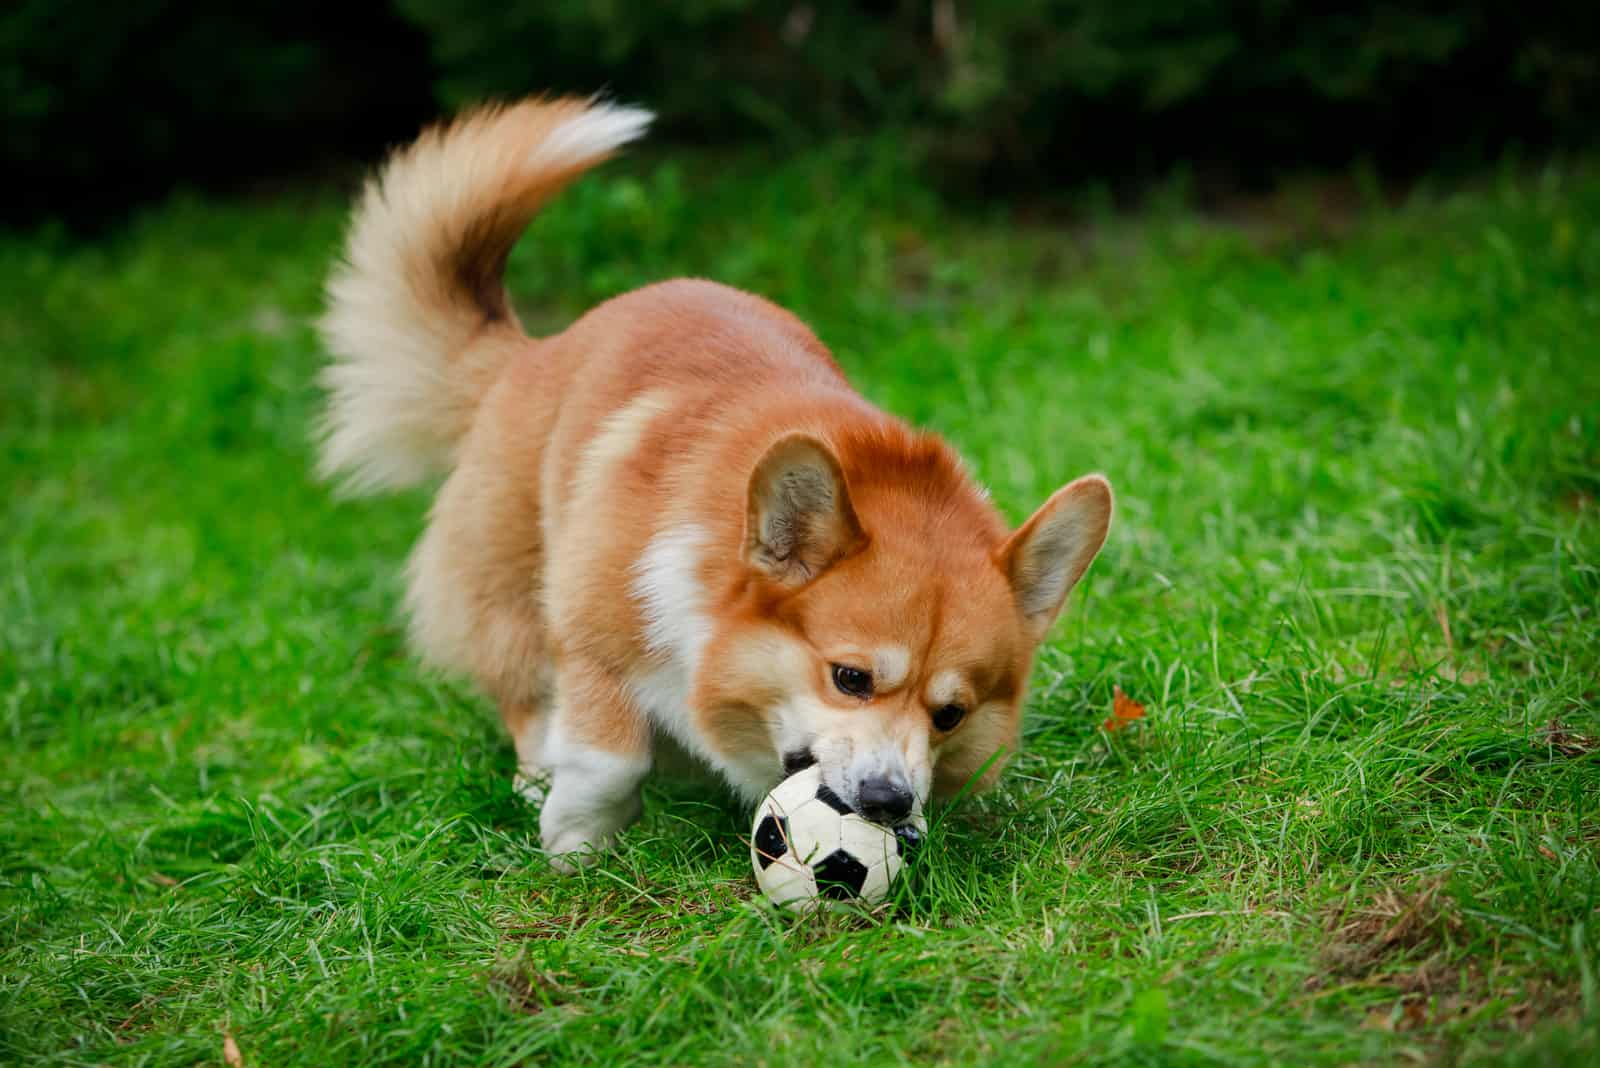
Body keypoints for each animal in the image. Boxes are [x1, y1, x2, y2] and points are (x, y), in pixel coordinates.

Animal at [315, 97, 1113, 869]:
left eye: (951, 714)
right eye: (850, 678)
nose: (887, 803)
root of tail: (527, 353)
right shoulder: (593, 638)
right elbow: (609, 759)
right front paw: (575, 843)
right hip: (511, 590)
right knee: (526, 696)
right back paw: (538, 777)